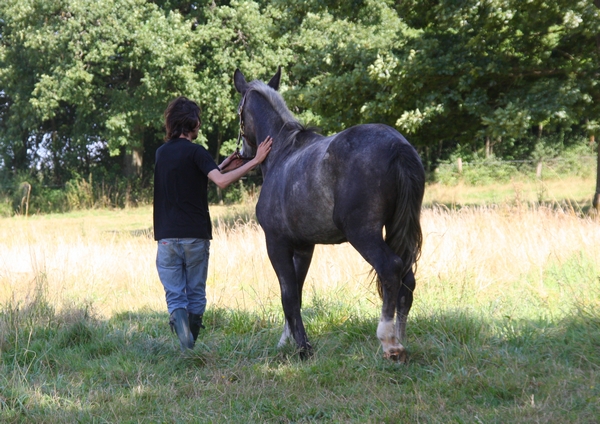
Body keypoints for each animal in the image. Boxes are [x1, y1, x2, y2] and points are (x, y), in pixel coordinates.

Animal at [232, 67, 424, 362]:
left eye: (239, 112)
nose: (243, 152)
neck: (282, 153)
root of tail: (398, 146)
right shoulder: (304, 247)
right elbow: (296, 293)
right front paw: (288, 340)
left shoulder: (276, 243)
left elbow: (288, 294)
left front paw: (302, 347)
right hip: (395, 228)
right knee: (407, 278)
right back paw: (401, 339)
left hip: (363, 234)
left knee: (390, 268)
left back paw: (390, 342)